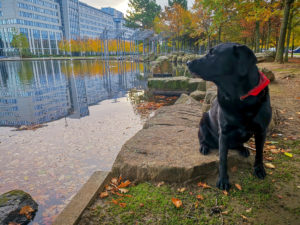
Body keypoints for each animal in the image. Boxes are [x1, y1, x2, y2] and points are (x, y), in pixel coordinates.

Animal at [189, 42, 274, 190]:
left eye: (212, 53)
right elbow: (223, 159)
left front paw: (259, 169)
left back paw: (243, 149)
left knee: (237, 144)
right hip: (203, 121)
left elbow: (260, 153)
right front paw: (223, 180)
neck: (240, 99)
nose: (187, 62)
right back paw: (204, 147)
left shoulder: (262, 131)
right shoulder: (224, 133)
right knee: (203, 139)